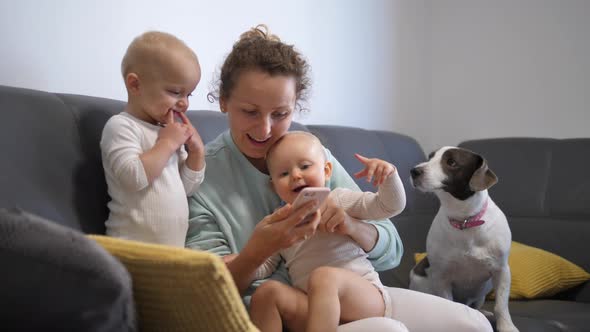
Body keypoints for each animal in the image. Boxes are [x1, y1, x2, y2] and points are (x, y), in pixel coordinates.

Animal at [410, 147, 520, 332]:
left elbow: (501, 305)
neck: (465, 220)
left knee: (476, 306)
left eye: (451, 162)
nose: (414, 171)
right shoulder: (442, 276)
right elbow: (448, 303)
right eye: (430, 157)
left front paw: (506, 326)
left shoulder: (502, 271)